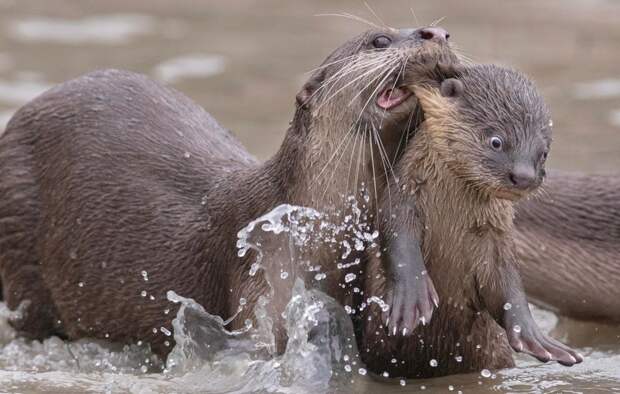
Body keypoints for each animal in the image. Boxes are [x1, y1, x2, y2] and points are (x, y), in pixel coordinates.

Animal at [360, 64, 584, 378]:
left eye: (543, 152)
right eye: (497, 141)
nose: (524, 176)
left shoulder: (495, 235)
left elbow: (506, 284)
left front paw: (533, 335)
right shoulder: (403, 197)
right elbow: (398, 239)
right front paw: (411, 297)